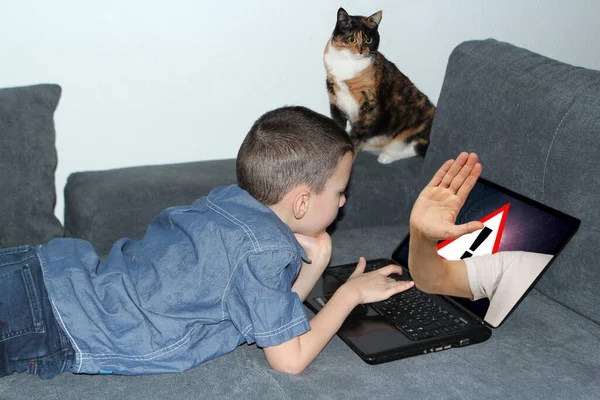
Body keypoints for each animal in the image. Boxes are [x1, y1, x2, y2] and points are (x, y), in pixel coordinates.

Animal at [326, 6, 434, 162]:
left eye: (368, 40)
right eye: (352, 39)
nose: (361, 51)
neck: (348, 66)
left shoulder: (369, 108)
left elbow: (356, 137)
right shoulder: (334, 101)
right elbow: (338, 127)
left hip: (420, 119)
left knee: (418, 147)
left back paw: (387, 156)